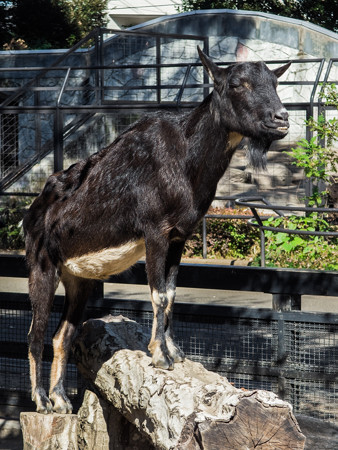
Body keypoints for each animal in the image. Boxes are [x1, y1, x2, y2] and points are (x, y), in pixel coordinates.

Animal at [23, 47, 290, 414]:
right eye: (237, 83)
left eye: (275, 82)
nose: (281, 118)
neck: (185, 159)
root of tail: (33, 212)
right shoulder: (155, 232)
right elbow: (158, 294)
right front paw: (160, 356)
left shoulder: (179, 236)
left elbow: (172, 293)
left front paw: (175, 351)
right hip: (41, 266)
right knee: (35, 334)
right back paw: (41, 400)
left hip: (78, 279)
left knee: (61, 335)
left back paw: (62, 400)